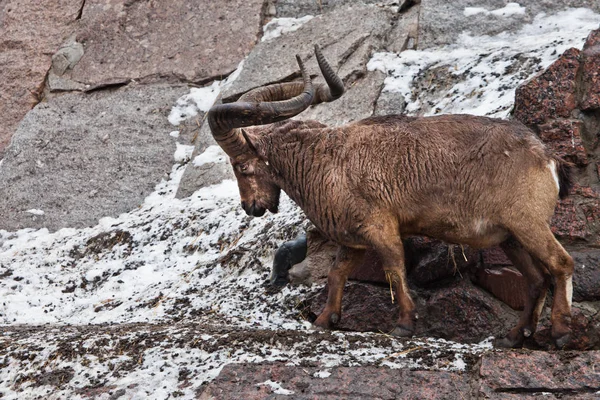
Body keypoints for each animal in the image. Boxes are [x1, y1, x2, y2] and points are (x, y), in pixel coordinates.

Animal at [209, 46, 576, 346]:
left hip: (528, 223)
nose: (251, 207)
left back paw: (560, 333)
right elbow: (337, 273)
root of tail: (547, 157)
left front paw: (403, 324)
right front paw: (326, 320)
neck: (324, 160)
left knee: (561, 263)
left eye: (241, 166)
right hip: (510, 236)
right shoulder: (354, 238)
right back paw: (514, 336)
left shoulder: (380, 225)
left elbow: (394, 268)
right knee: (536, 279)